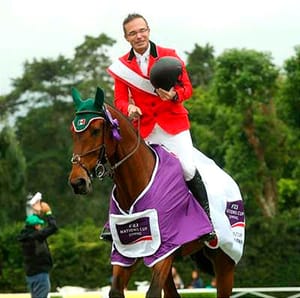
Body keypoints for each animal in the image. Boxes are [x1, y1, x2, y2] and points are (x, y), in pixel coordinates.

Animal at [68, 86, 239, 298]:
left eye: (96, 130)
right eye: (73, 132)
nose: (78, 182)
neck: (134, 185)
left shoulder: (165, 248)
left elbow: (153, 292)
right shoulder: (128, 249)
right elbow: (116, 290)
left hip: (225, 260)